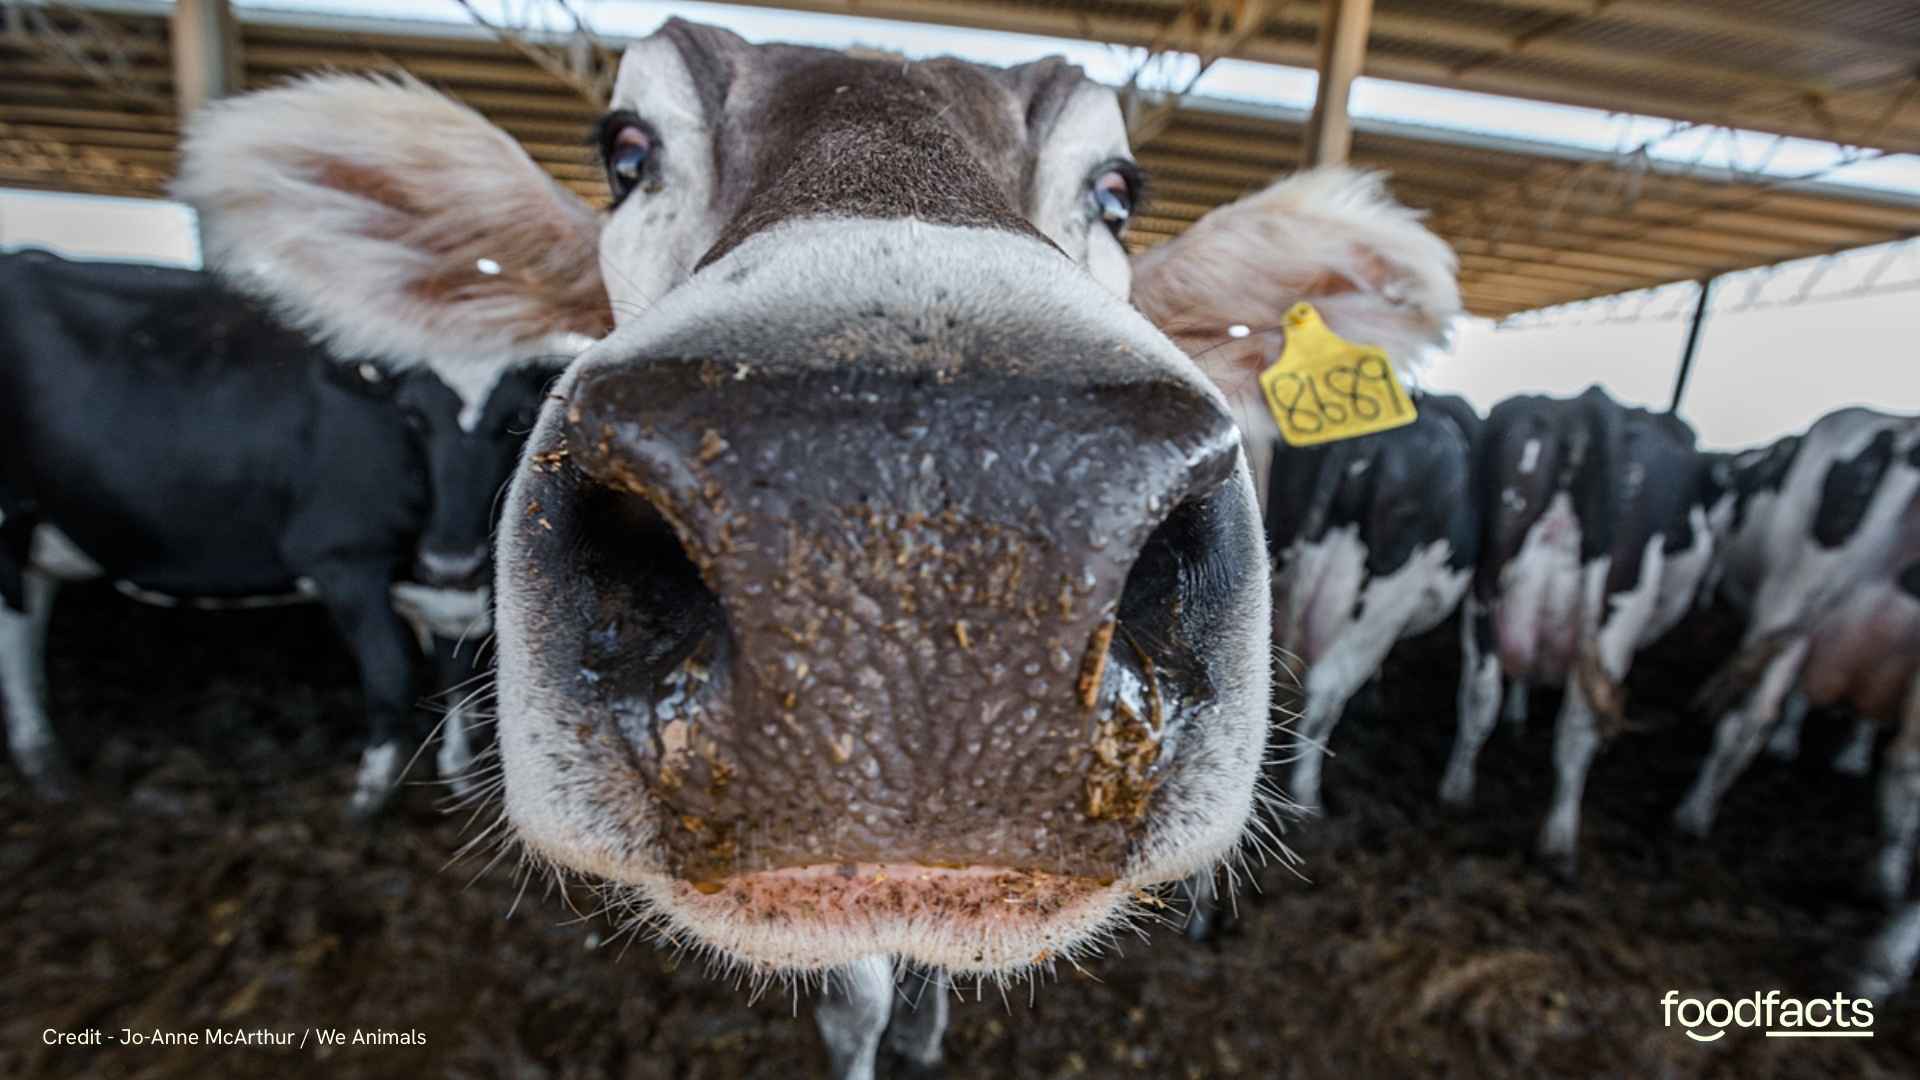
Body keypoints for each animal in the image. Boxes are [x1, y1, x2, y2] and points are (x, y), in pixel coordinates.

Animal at [0, 250, 563, 815]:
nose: (451, 559)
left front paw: (461, 777)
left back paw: (45, 762)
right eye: (413, 414)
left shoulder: (451, 589)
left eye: (518, 414)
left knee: (27, 621)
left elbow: (458, 673)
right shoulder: (342, 557)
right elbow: (391, 675)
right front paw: (368, 797)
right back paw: (40, 760)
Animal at [1436, 386, 1720, 877]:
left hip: (1485, 586)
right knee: (1578, 727)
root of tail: (1579, 406)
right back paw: (1560, 843)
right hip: (1615, 614)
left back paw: (1456, 790)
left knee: (1479, 695)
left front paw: (1517, 712)